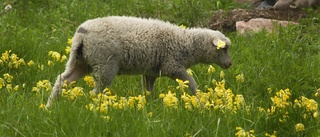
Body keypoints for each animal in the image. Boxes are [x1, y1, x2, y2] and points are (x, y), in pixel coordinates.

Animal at [45, 16, 231, 107]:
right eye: (224, 49)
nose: (229, 64)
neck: (187, 43)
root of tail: (82, 34)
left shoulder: (151, 72)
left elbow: (148, 91)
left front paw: (150, 107)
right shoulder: (172, 66)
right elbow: (191, 83)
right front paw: (200, 103)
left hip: (80, 61)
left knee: (62, 81)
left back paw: (50, 106)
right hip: (105, 64)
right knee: (95, 91)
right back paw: (94, 109)